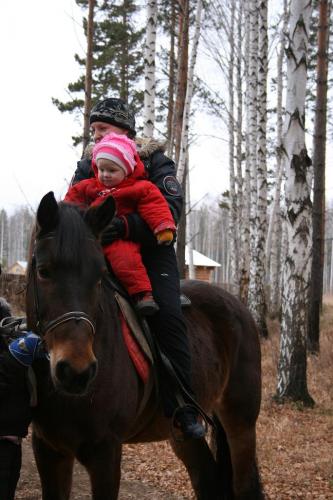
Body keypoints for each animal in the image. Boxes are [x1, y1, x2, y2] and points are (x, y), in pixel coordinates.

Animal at [24, 192, 264, 500]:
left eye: (99, 275)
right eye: (44, 271)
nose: (76, 371)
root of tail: (239, 306)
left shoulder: (106, 453)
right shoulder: (49, 449)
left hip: (241, 423)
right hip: (182, 433)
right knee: (207, 479)